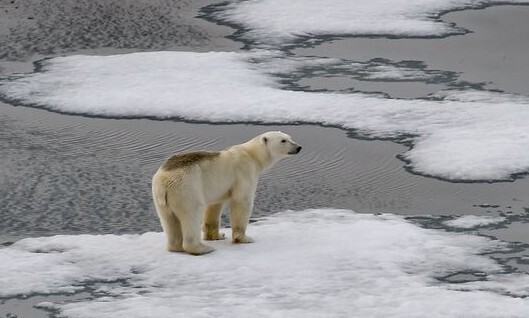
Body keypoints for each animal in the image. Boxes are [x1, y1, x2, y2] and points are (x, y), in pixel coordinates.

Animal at [152, 130, 302, 255]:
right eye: (283, 140)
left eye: (290, 137)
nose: (299, 147)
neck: (252, 155)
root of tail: (163, 181)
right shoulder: (244, 173)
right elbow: (242, 201)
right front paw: (244, 238)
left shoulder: (218, 188)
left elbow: (214, 207)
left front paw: (218, 236)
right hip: (187, 189)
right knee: (192, 215)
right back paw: (202, 248)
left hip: (162, 198)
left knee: (168, 220)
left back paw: (176, 246)